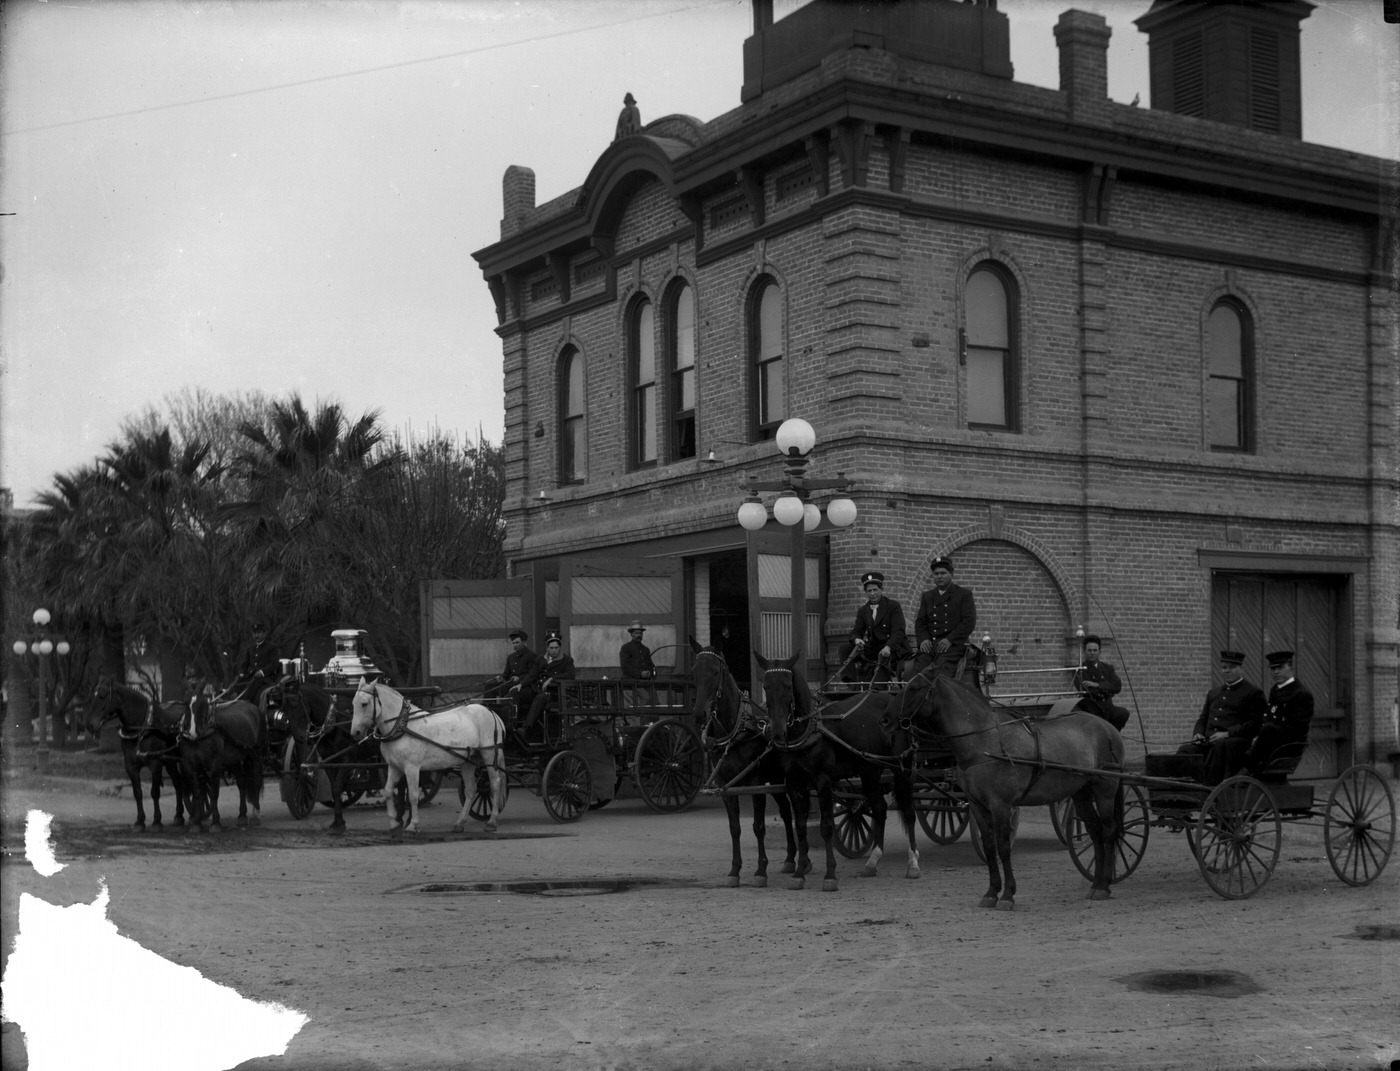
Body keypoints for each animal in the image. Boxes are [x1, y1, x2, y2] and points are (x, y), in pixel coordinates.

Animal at [87, 680, 187, 828]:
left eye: (102, 696)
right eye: (91, 696)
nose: (89, 725)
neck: (142, 727)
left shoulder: (155, 763)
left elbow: (154, 792)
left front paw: (157, 821)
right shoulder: (131, 766)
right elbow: (137, 793)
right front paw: (140, 821)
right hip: (170, 762)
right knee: (178, 783)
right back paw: (179, 816)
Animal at [350, 680, 509, 828]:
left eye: (364, 704)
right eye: (353, 703)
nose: (355, 733)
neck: (402, 726)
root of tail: (492, 713)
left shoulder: (412, 768)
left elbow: (413, 795)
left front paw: (412, 825)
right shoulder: (394, 767)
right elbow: (388, 791)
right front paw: (394, 824)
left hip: (489, 755)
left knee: (495, 784)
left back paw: (492, 821)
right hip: (468, 760)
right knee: (471, 789)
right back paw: (460, 823)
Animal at [691, 644, 800, 884]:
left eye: (715, 672)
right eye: (694, 671)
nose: (699, 714)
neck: (736, 729)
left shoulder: (755, 783)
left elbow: (758, 826)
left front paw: (761, 870)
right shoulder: (725, 785)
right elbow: (735, 828)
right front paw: (735, 870)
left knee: (789, 811)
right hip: (775, 779)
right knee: (785, 811)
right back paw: (790, 858)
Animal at [756, 652, 918, 896]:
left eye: (787, 686)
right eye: (766, 686)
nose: (777, 732)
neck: (806, 731)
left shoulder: (822, 781)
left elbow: (826, 827)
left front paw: (830, 875)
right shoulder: (794, 784)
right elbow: (800, 827)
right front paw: (799, 873)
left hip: (901, 768)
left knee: (908, 811)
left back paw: (913, 862)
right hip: (869, 770)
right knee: (880, 808)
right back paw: (873, 861)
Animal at [896, 669, 1125, 912]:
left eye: (915, 688)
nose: (887, 719)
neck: (984, 741)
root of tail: (1108, 727)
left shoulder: (1001, 805)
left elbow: (1004, 848)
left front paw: (1007, 895)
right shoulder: (977, 806)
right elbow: (989, 847)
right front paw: (991, 892)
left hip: (1105, 789)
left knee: (1109, 831)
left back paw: (1104, 886)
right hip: (1081, 792)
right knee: (1096, 832)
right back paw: (1097, 883)